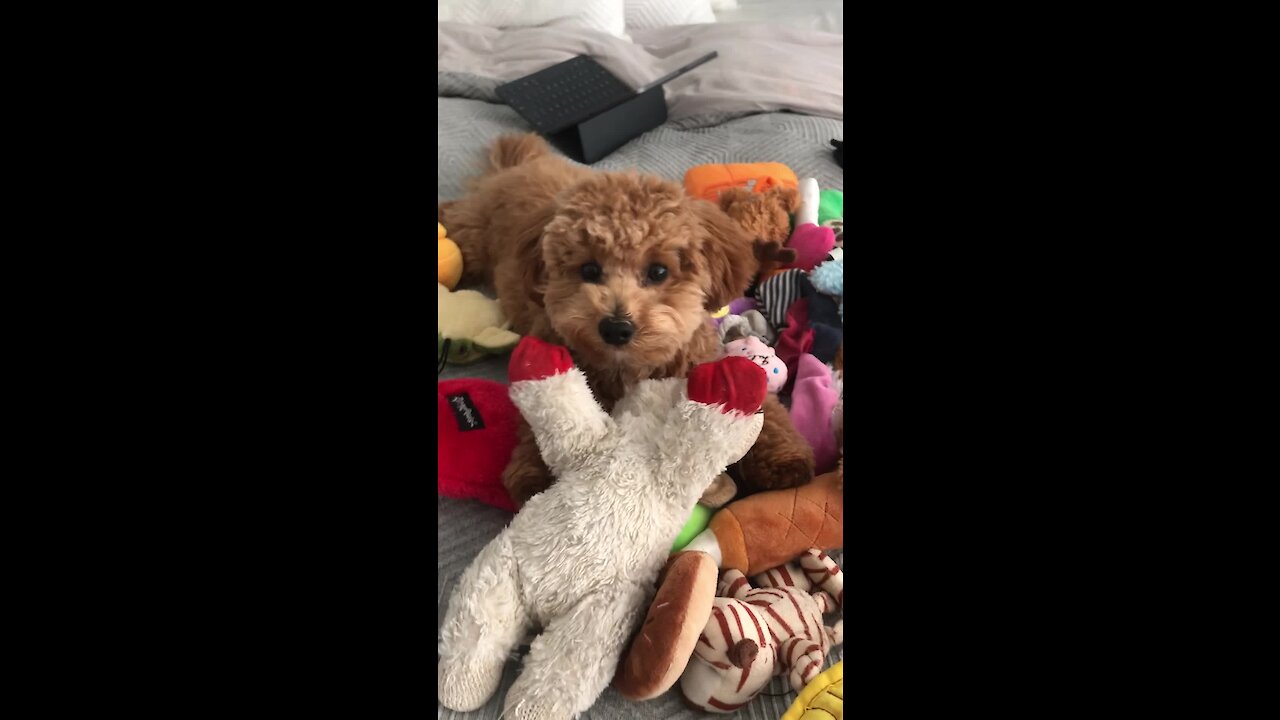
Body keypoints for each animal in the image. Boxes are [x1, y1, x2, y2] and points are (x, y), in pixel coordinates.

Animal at [445, 134, 814, 504]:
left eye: (658, 272)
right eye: (589, 270)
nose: (616, 328)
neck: (629, 365)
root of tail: (523, 165)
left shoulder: (699, 356)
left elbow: (762, 410)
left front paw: (784, 458)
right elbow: (537, 422)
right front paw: (537, 478)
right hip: (471, 239)